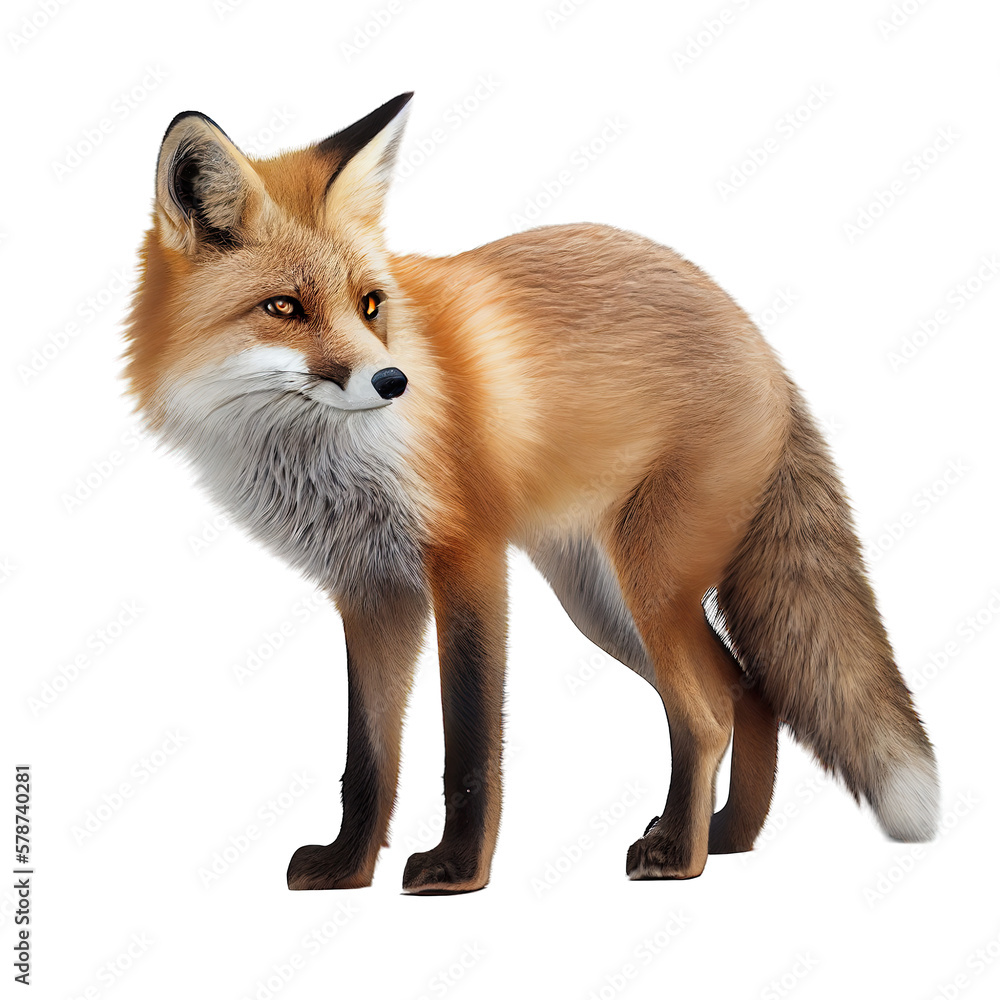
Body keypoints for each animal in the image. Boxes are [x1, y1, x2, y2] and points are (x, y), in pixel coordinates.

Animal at [122, 92, 939, 894]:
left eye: (370, 304)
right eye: (284, 307)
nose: (393, 382)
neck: (323, 458)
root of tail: (759, 340)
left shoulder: (468, 560)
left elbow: (469, 743)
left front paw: (456, 870)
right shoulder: (372, 590)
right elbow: (369, 760)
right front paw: (348, 868)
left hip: (647, 586)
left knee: (706, 716)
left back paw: (682, 853)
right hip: (603, 602)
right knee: (745, 693)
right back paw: (729, 836)